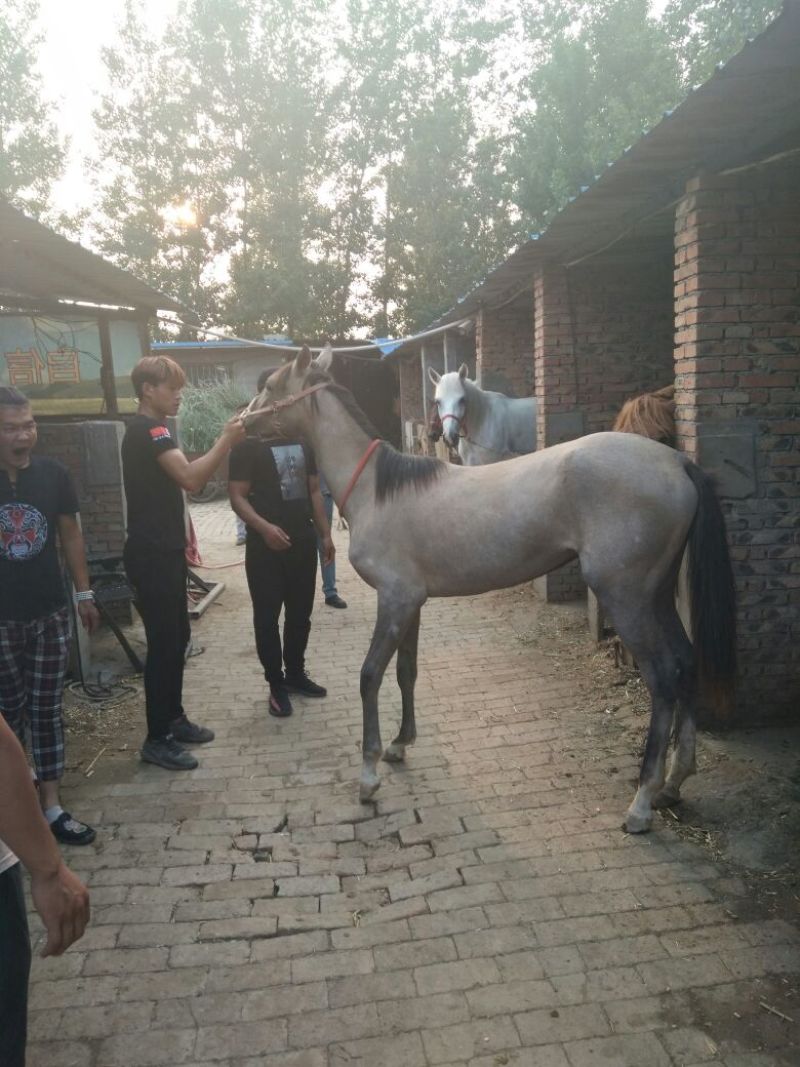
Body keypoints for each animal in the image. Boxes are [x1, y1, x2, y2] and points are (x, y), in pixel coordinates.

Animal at [245, 347, 737, 834]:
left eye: (270, 387)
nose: (243, 425)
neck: (377, 490)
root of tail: (676, 462)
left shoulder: (394, 600)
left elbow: (369, 676)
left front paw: (368, 775)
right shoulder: (412, 603)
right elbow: (406, 671)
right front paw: (401, 744)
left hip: (627, 598)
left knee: (662, 678)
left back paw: (641, 802)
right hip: (658, 594)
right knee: (685, 662)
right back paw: (675, 782)